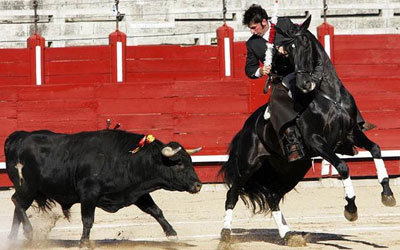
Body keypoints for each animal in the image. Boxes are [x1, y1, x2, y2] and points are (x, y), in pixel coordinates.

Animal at [4, 129, 202, 244]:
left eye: (190, 161)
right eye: (179, 163)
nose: (198, 185)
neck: (125, 159)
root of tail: (18, 138)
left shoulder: (136, 193)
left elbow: (156, 211)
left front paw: (172, 234)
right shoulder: (88, 193)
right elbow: (87, 219)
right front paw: (84, 242)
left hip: (30, 190)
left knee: (18, 207)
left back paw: (12, 239)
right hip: (27, 187)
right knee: (17, 202)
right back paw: (28, 233)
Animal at [220, 15, 396, 242]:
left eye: (304, 45)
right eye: (288, 50)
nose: (304, 83)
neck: (329, 95)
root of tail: (245, 128)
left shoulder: (351, 133)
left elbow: (375, 149)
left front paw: (387, 193)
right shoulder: (317, 141)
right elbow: (342, 167)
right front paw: (351, 209)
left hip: (292, 168)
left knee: (273, 196)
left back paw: (288, 235)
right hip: (248, 165)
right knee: (232, 193)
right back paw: (225, 234)